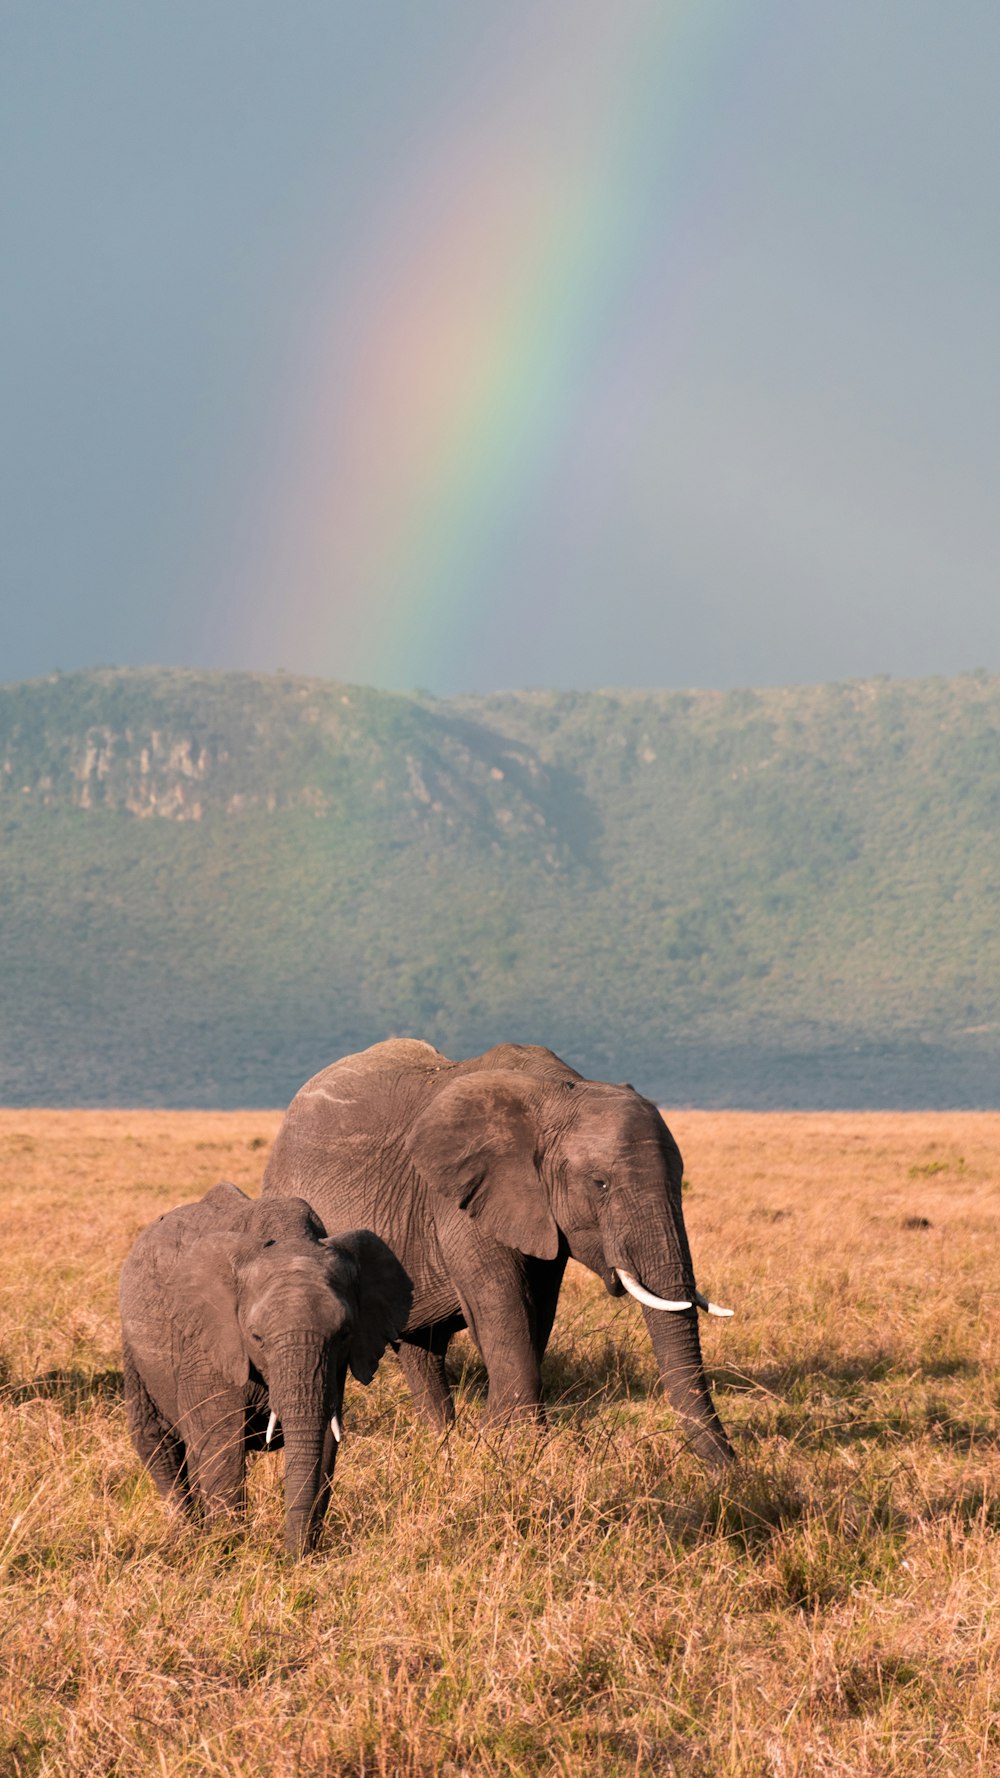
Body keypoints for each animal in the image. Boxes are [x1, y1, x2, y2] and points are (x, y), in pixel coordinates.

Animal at [263, 1038, 733, 1465]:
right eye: (600, 1184)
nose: (730, 1472)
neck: (559, 1092)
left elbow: (537, 1310)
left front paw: (497, 1440)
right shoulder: (461, 1201)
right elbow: (503, 1307)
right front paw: (516, 1449)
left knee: (421, 1349)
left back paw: (440, 1442)